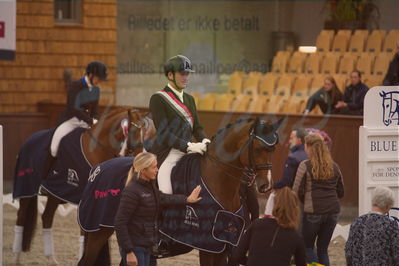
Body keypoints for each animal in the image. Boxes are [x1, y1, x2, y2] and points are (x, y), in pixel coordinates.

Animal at [12, 107, 147, 264]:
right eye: (132, 131)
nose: (140, 159)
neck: (96, 150)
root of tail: (29, 139)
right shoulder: (86, 201)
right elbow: (85, 233)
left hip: (55, 194)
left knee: (46, 218)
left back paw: (52, 260)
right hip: (26, 189)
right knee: (21, 217)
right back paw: (16, 258)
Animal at [76, 117, 280, 266]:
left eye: (274, 149)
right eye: (259, 148)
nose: (265, 185)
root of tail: (98, 170)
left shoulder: (223, 245)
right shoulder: (207, 246)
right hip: (99, 230)